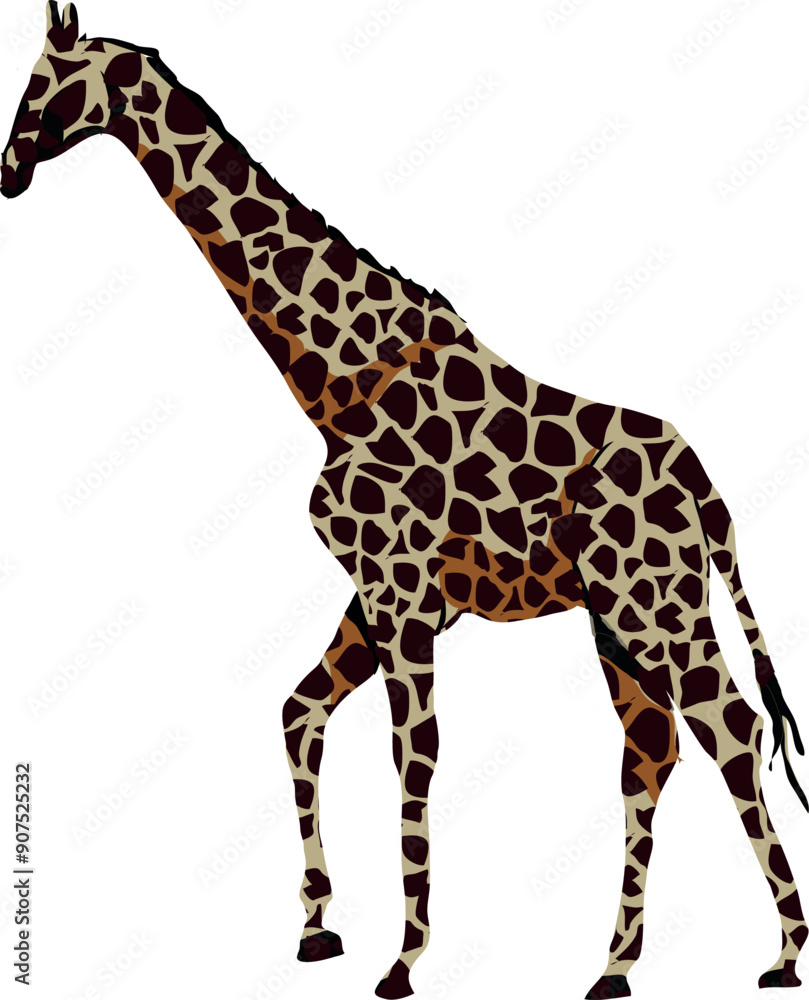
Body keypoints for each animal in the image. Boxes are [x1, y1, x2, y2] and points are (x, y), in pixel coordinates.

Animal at [2, 6, 807, 998]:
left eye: (41, 84)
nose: (7, 169)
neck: (334, 382)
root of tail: (706, 486)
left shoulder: (403, 596)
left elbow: (410, 761)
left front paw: (403, 959)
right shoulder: (373, 594)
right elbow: (298, 713)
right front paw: (317, 927)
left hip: (654, 603)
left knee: (727, 727)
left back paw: (780, 951)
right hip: (618, 619)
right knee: (652, 749)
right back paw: (612, 966)